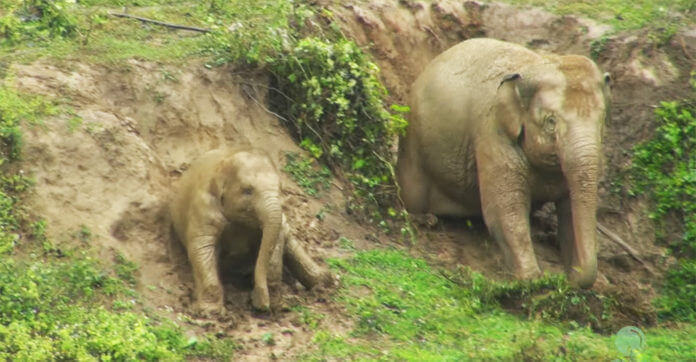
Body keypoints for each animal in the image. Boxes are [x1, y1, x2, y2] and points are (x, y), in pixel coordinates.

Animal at [171, 146, 328, 314]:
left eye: (280, 188)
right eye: (247, 190)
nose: (261, 304)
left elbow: (275, 244)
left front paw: (275, 304)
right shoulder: (202, 207)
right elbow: (202, 247)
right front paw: (210, 313)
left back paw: (326, 283)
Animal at [396, 37, 608, 288]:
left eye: (602, 120)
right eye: (551, 121)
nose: (568, 279)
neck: (534, 64)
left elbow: (568, 211)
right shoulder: (492, 133)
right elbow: (505, 208)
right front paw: (533, 280)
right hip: (413, 140)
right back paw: (426, 219)